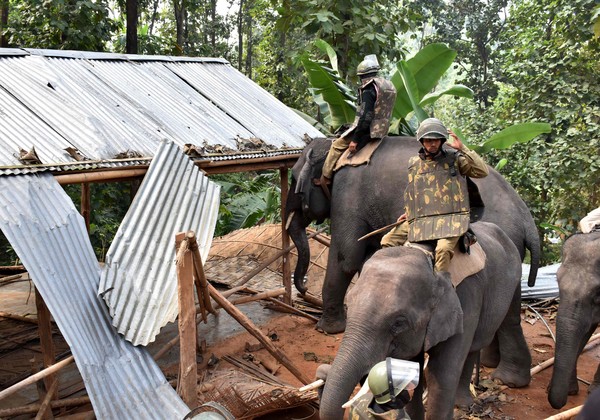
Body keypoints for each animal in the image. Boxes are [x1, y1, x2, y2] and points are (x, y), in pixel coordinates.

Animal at [286, 138, 540, 388]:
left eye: (293, 179)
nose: (304, 287)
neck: (337, 146)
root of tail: (528, 221)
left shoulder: (347, 195)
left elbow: (346, 257)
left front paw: (326, 329)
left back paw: (504, 377)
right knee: (509, 310)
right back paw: (500, 371)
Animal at [322, 221, 524, 418]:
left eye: (398, 323)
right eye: (349, 307)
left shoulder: (465, 304)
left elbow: (441, 373)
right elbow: (413, 368)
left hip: (515, 278)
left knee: (504, 324)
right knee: (472, 349)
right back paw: (463, 404)